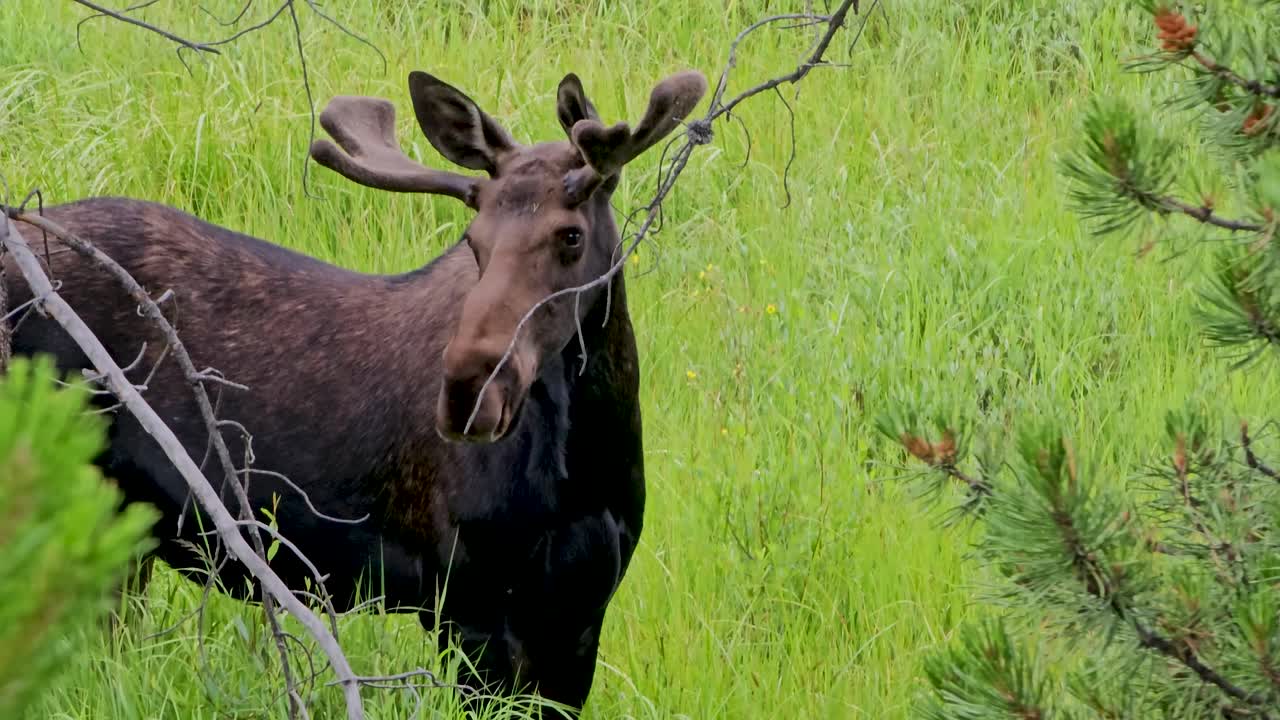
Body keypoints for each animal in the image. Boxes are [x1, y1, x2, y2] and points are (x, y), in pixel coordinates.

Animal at [3, 66, 707, 713]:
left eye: (571, 235)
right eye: (473, 240)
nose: (466, 393)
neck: (585, 468)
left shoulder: (578, 616)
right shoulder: (468, 610)